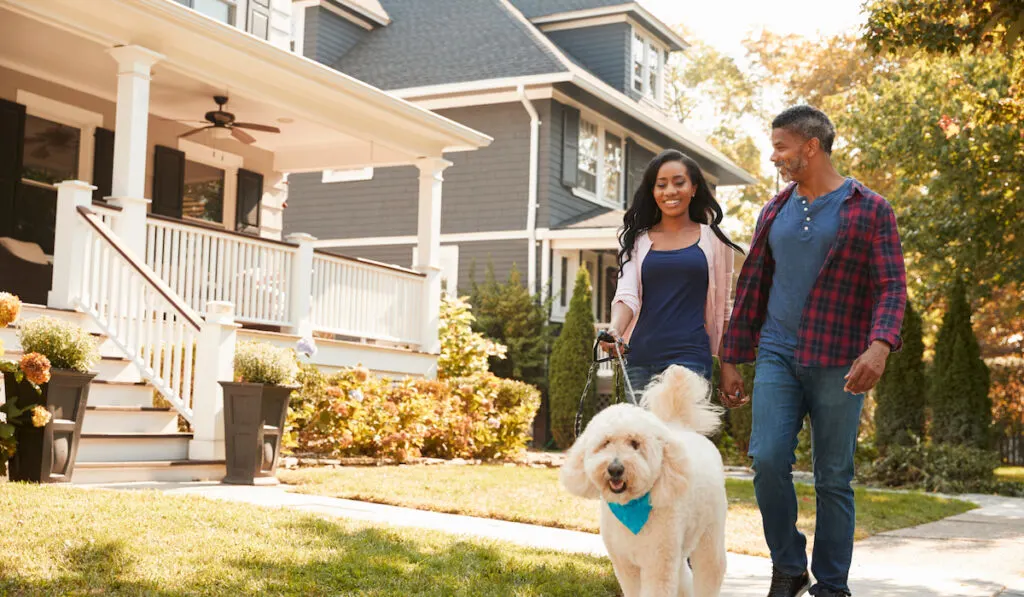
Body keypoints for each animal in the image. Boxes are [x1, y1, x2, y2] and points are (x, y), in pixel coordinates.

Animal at [561, 364, 729, 597]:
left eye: (635, 443)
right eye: (605, 443)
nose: (615, 469)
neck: (631, 507)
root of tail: (680, 426)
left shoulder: (658, 563)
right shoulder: (625, 565)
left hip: (709, 535)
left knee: (710, 571)